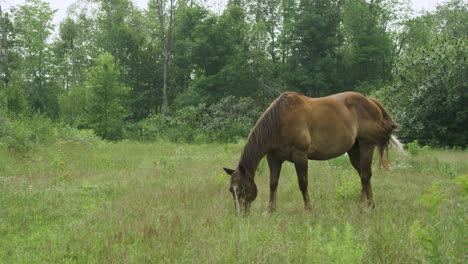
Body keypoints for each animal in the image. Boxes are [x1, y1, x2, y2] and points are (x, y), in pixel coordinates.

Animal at [222, 91, 402, 214]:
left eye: (243, 189)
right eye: (231, 190)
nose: (240, 215)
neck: (280, 122)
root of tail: (370, 101)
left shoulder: (300, 156)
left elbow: (303, 183)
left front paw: (308, 208)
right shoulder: (273, 158)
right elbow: (273, 183)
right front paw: (270, 210)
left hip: (366, 145)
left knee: (365, 176)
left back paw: (360, 206)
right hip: (354, 150)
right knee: (365, 175)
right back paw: (371, 204)